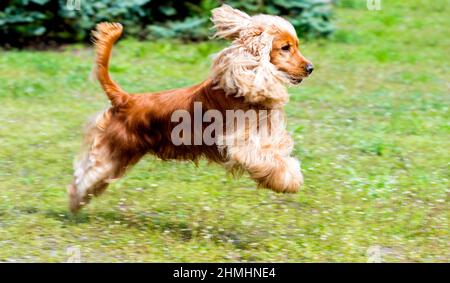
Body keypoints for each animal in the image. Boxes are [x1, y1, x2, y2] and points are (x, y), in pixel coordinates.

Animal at [67, 4, 312, 213]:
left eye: (296, 46)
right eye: (285, 48)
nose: (310, 68)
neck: (245, 82)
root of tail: (126, 99)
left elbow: (278, 153)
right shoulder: (243, 143)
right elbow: (270, 161)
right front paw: (290, 181)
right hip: (113, 150)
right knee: (85, 176)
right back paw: (75, 203)